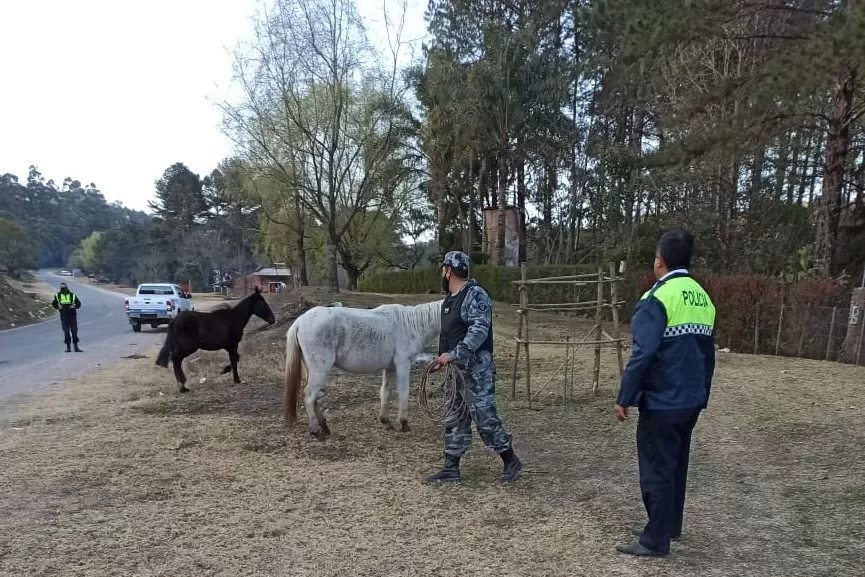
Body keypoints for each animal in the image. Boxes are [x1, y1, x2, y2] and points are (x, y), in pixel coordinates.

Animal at [284, 300, 442, 438]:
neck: (410, 324)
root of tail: (299, 322)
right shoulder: (403, 364)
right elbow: (403, 392)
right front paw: (404, 423)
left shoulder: (390, 368)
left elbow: (385, 392)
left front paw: (385, 421)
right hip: (320, 369)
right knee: (310, 396)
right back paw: (316, 430)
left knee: (315, 398)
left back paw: (324, 427)